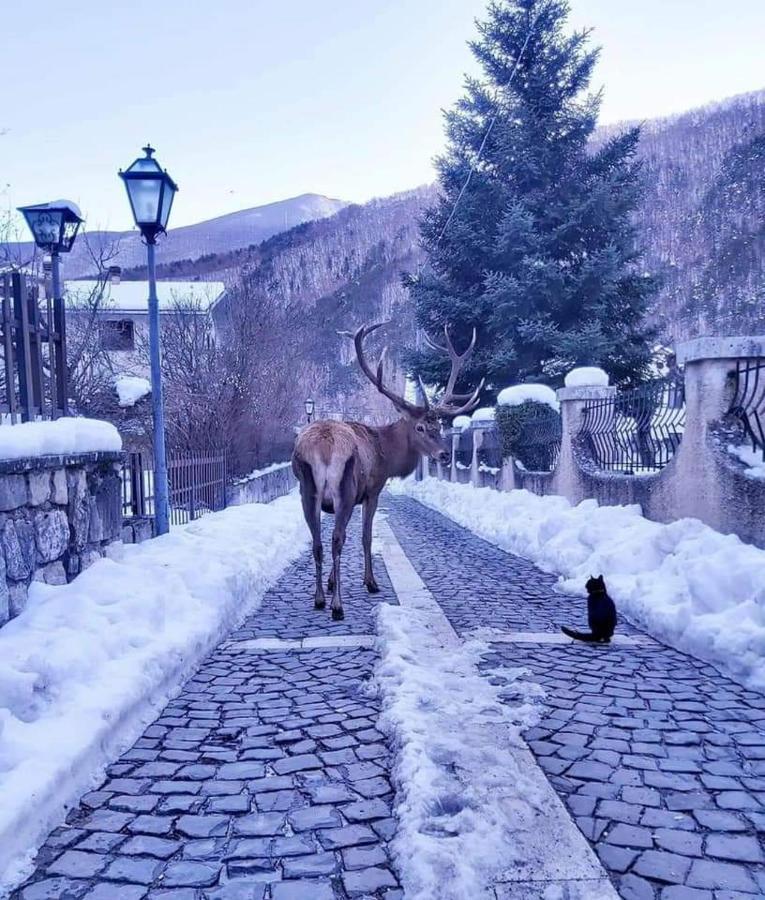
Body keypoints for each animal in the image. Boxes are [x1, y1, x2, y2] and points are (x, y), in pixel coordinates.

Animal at [292, 320, 484, 624]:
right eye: (420, 427)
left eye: (440, 425)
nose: (444, 454)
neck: (385, 452)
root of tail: (323, 446)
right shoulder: (373, 490)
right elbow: (366, 536)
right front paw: (370, 582)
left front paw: (333, 582)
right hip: (346, 489)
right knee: (336, 540)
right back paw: (337, 606)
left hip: (306, 490)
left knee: (318, 542)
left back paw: (320, 598)